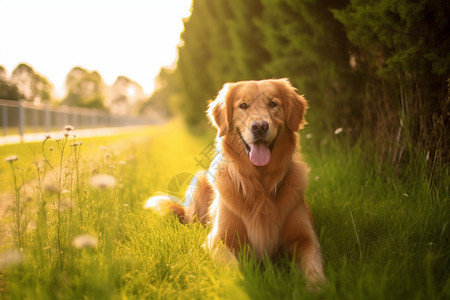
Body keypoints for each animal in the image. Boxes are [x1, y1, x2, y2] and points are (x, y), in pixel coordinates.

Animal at [149, 78, 326, 290]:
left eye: (273, 104)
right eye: (243, 106)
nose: (259, 126)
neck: (260, 186)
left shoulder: (305, 237)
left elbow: (313, 266)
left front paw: (318, 288)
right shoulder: (218, 240)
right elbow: (232, 269)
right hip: (198, 182)